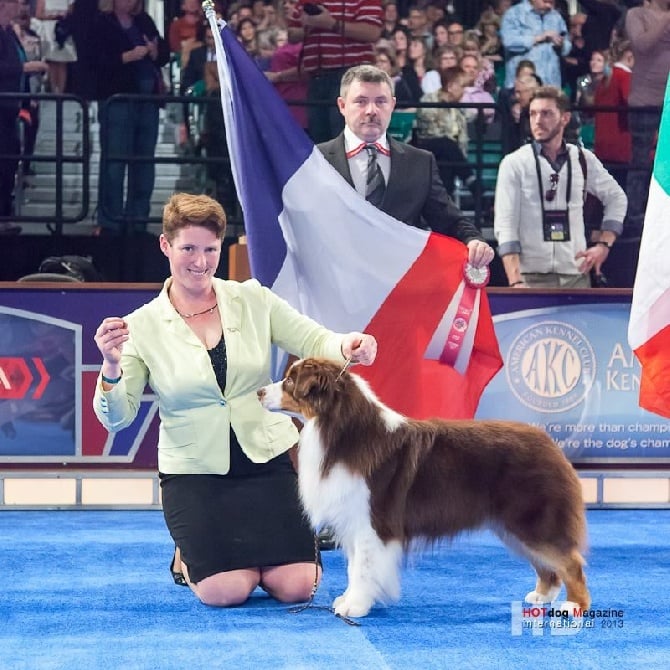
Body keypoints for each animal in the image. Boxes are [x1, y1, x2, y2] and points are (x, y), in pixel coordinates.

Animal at [258, 356, 592, 620]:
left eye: (290, 381)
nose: (259, 392)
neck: (338, 430)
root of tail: (550, 443)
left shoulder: (372, 523)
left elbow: (363, 566)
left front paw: (355, 606)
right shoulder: (353, 520)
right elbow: (355, 567)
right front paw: (349, 599)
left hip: (532, 521)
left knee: (570, 562)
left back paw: (573, 606)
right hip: (513, 527)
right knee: (548, 566)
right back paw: (542, 596)